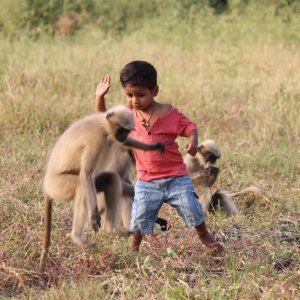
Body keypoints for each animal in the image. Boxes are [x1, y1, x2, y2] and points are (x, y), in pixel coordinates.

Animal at [39, 105, 164, 272]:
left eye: (127, 131)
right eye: (122, 130)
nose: (123, 135)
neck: (103, 125)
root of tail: (47, 185)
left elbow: (126, 145)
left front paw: (153, 146)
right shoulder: (97, 140)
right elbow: (86, 172)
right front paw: (94, 214)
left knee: (110, 179)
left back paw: (112, 230)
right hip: (58, 186)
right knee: (82, 184)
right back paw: (78, 237)